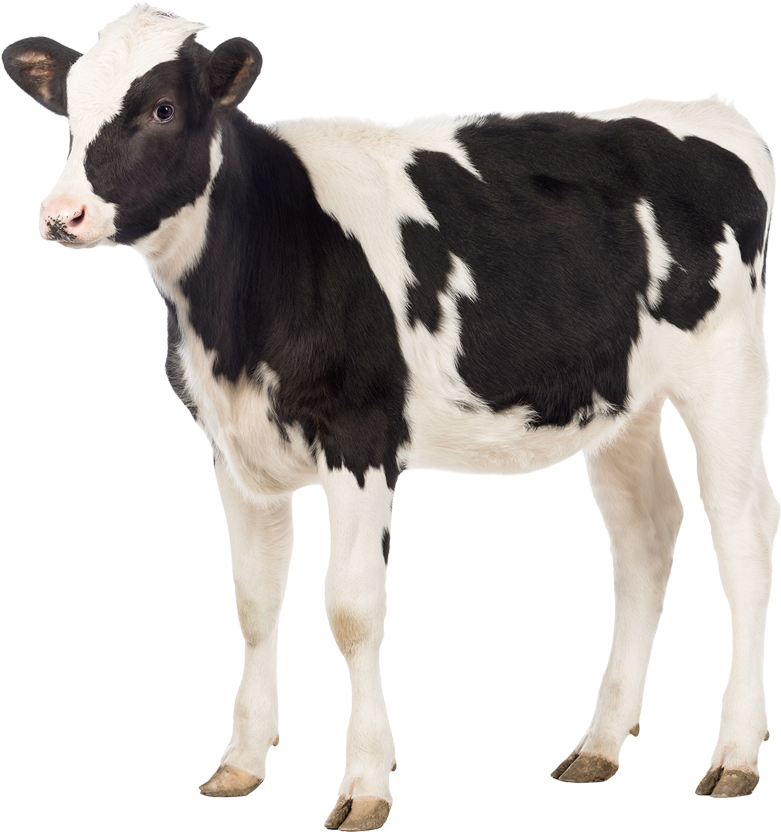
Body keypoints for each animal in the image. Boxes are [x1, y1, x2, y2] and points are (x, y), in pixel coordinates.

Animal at [3, 3, 775, 826]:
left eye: (162, 109)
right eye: (69, 109)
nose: (62, 215)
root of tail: (705, 110)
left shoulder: (361, 438)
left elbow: (350, 609)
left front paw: (366, 783)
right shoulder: (235, 450)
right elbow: (253, 601)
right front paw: (240, 762)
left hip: (725, 374)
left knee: (742, 533)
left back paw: (733, 754)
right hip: (621, 402)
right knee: (644, 534)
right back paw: (598, 745)